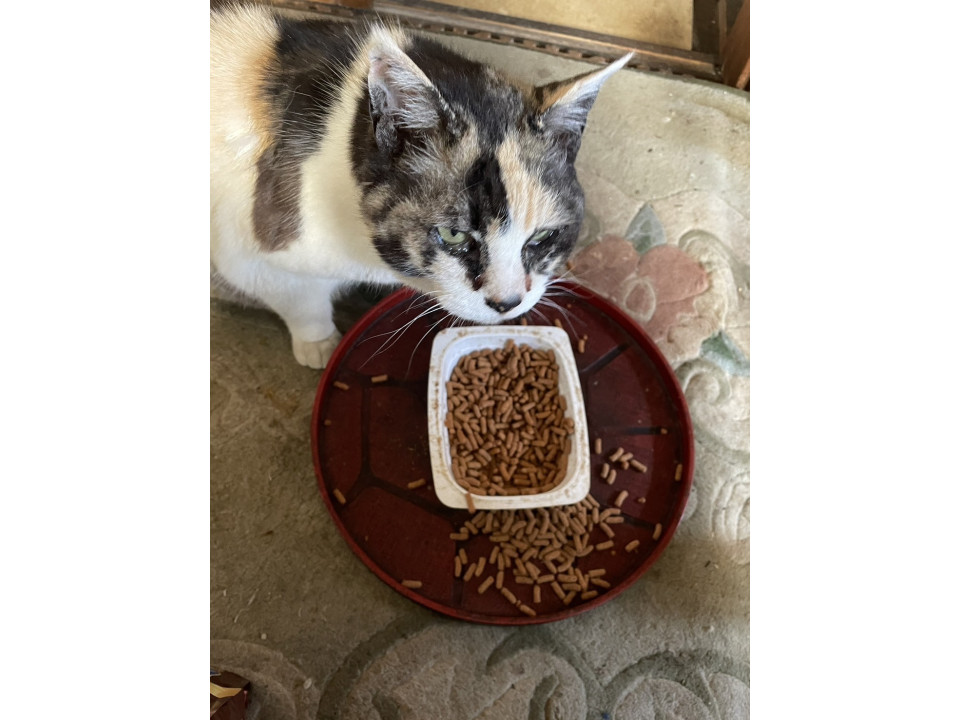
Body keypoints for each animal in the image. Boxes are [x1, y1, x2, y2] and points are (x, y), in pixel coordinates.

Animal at [211, 3, 630, 368]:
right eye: (453, 235)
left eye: (542, 236)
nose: (507, 303)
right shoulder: (254, 255)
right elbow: (303, 302)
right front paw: (321, 346)